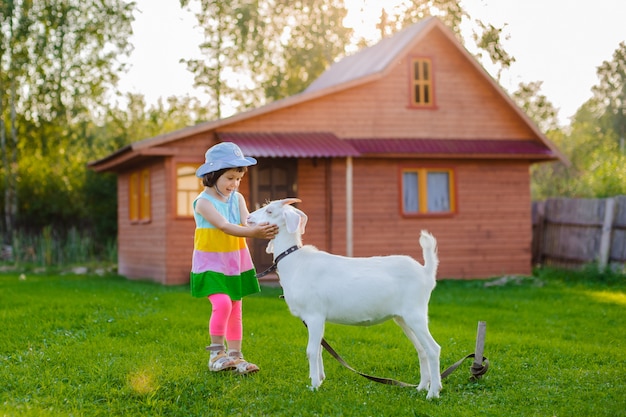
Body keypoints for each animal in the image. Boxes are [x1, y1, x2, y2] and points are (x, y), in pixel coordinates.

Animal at [246, 197, 442, 398]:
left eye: (269, 211)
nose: (248, 218)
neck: (296, 263)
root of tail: (426, 272)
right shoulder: (314, 319)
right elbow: (319, 349)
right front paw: (320, 379)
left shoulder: (315, 315)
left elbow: (311, 350)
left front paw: (314, 386)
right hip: (402, 318)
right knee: (421, 349)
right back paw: (421, 387)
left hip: (415, 314)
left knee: (433, 349)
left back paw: (433, 393)